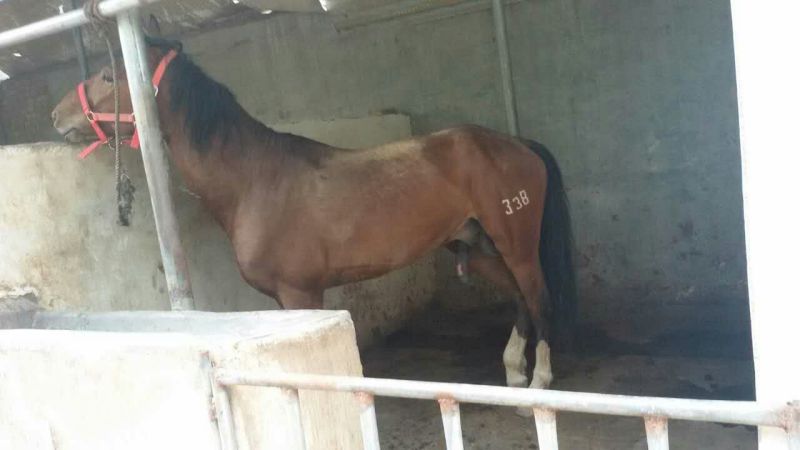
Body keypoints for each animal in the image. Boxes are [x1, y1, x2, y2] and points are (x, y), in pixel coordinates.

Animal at [51, 36, 577, 395]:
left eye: (109, 76)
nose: (57, 117)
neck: (256, 180)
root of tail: (514, 143)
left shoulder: (301, 293)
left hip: (516, 244)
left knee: (539, 300)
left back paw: (539, 382)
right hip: (480, 246)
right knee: (520, 301)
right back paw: (513, 374)